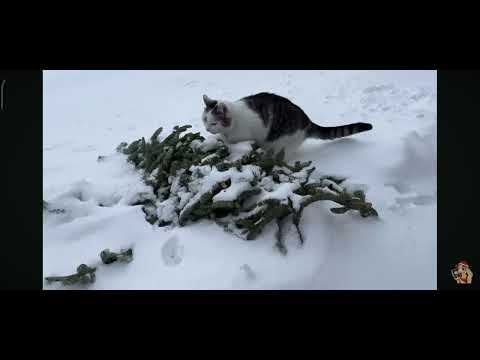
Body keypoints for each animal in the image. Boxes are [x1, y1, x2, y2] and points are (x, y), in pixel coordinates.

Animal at [201, 92, 374, 155]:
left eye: (214, 123)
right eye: (204, 120)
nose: (207, 129)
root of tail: (307, 121)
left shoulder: (245, 135)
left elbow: (231, 141)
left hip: (281, 143)